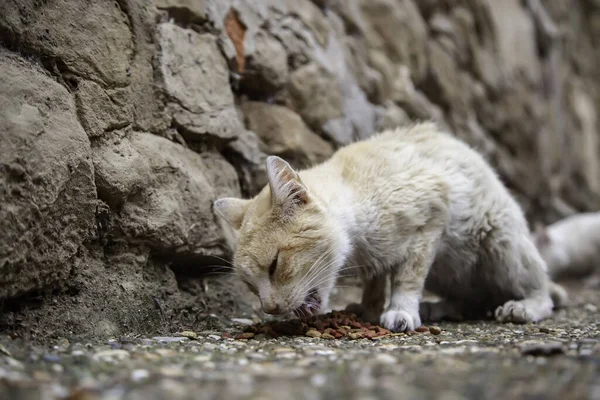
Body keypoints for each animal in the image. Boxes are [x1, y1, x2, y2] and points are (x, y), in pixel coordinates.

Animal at [212, 122, 568, 332]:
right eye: (250, 286)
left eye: (275, 265)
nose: (269, 309)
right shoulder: (377, 257)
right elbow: (376, 280)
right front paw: (368, 309)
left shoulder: (429, 223)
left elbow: (407, 278)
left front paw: (401, 311)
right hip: (450, 273)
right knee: (473, 299)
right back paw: (442, 308)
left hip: (503, 243)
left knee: (540, 291)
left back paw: (524, 306)